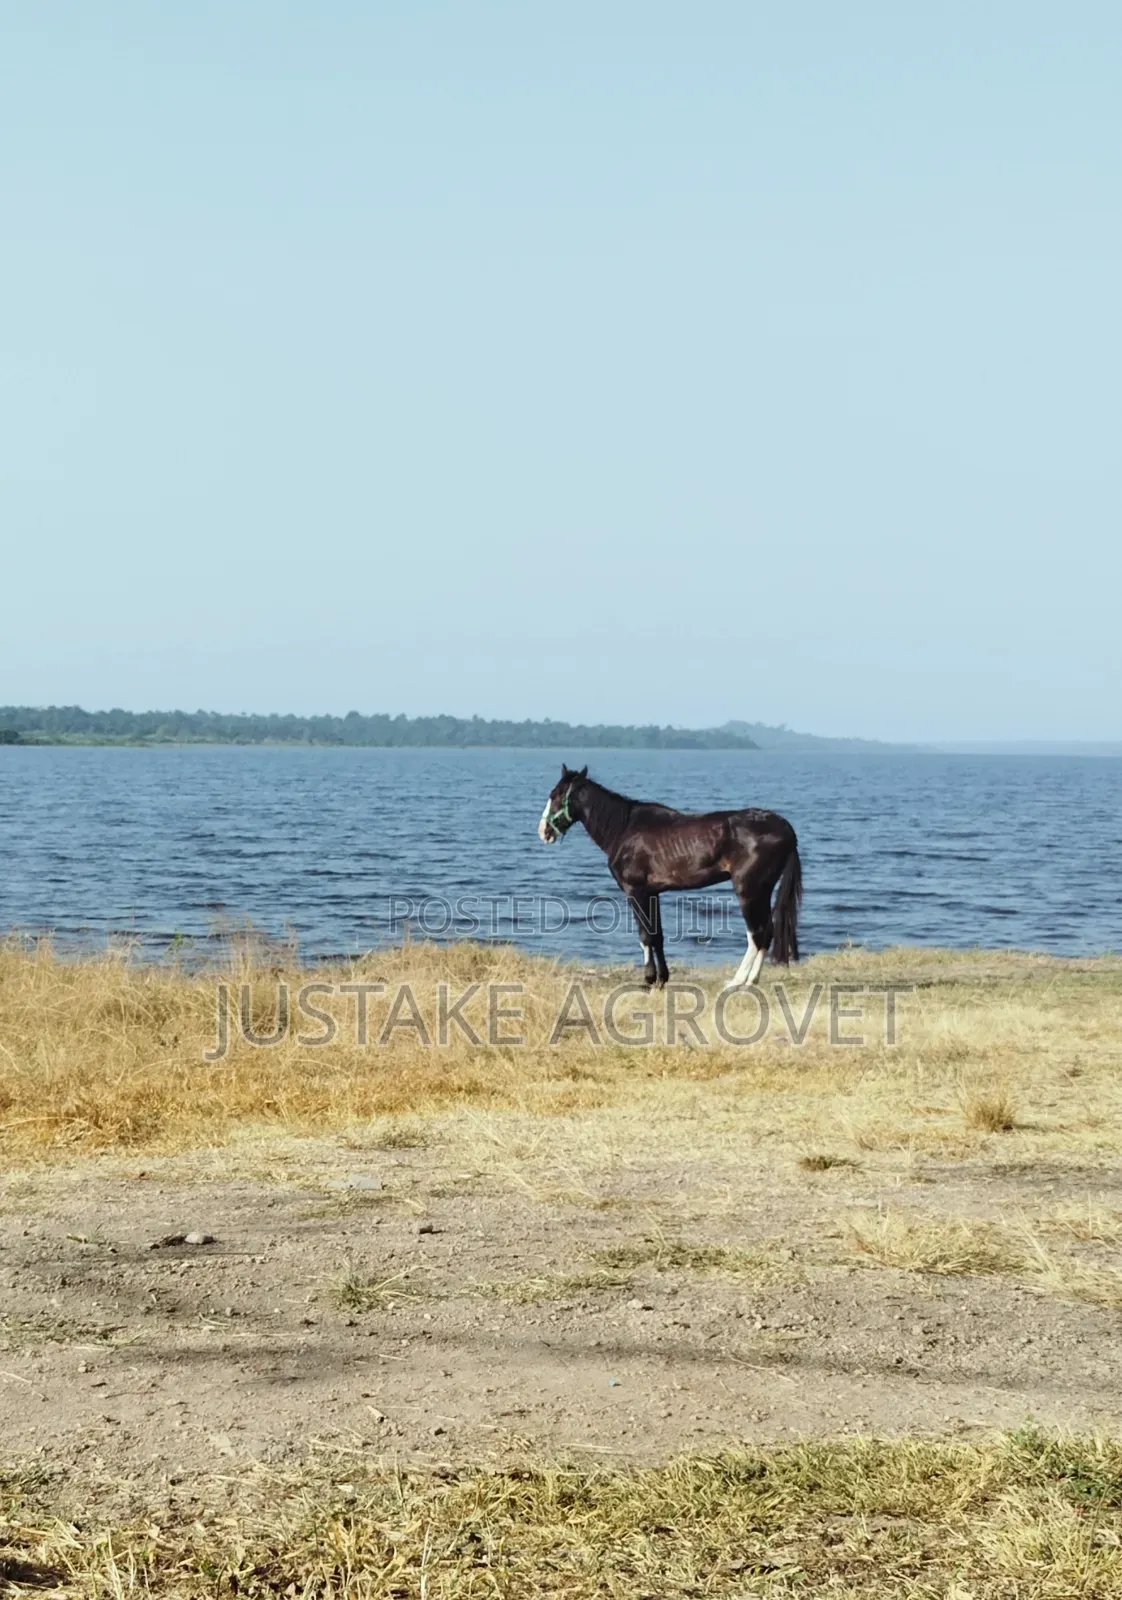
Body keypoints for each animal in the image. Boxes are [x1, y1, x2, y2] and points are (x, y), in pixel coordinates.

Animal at [538, 764, 802, 989]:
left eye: (556, 795)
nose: (544, 832)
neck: (623, 829)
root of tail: (784, 827)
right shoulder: (652, 892)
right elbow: (658, 936)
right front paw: (662, 978)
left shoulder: (636, 891)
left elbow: (645, 935)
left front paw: (648, 980)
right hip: (762, 891)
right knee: (767, 932)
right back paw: (752, 981)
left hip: (749, 891)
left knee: (757, 934)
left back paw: (738, 982)